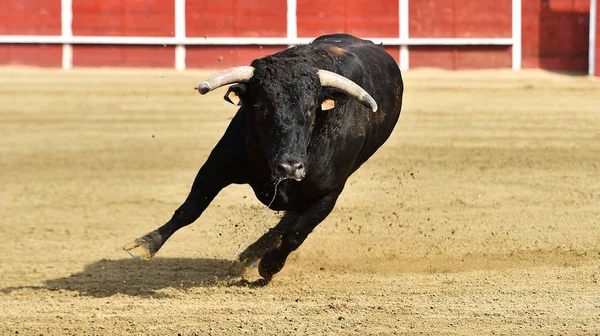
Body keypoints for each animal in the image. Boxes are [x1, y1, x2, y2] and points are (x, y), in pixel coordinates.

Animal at [123, 33, 404, 280]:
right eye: (260, 107)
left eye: (311, 108)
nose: (290, 167)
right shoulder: (218, 165)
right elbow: (190, 208)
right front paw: (145, 245)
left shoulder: (329, 193)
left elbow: (296, 233)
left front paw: (269, 267)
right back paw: (249, 255)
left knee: (289, 222)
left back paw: (253, 256)